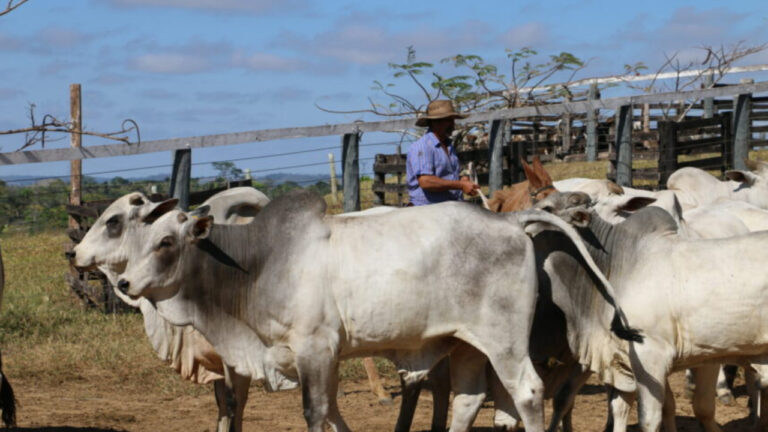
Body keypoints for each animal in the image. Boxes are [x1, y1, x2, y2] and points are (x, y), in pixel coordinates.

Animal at [115, 191, 640, 432]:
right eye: (138, 238)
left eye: (166, 242)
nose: (123, 284)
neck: (256, 262)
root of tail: (509, 219)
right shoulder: (322, 357)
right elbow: (331, 410)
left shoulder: (313, 349)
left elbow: (315, 411)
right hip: (466, 346)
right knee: (468, 400)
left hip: (505, 343)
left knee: (529, 393)